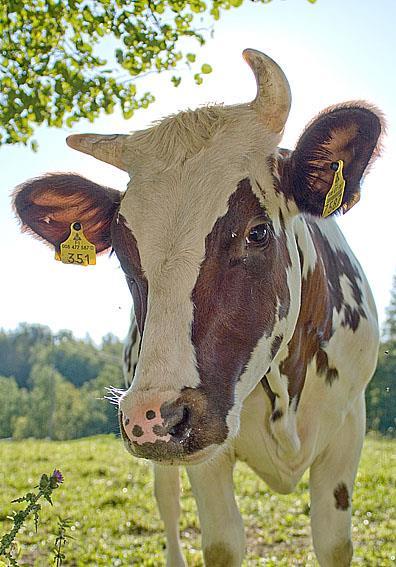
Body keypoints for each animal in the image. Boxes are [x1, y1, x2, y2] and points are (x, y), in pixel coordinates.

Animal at [14, 50, 384, 567]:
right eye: (124, 253)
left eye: (257, 232)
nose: (156, 416)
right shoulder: (204, 459)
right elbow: (222, 543)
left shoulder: (349, 429)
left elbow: (334, 543)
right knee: (166, 501)